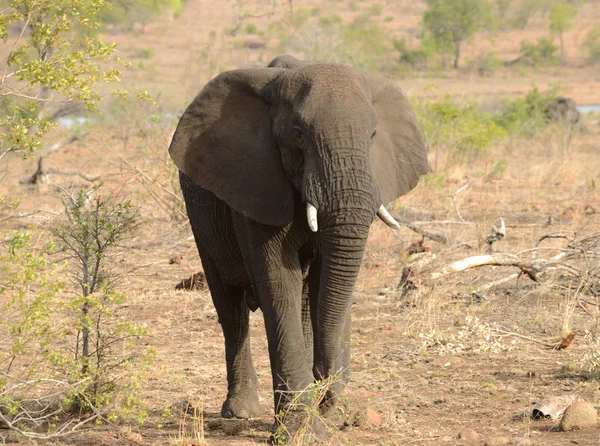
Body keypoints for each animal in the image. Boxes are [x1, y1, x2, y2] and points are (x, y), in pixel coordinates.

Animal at [169, 53, 428, 432]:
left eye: (373, 134)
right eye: (298, 134)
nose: (327, 391)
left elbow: (323, 282)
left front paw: (315, 415)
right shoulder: (256, 181)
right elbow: (278, 280)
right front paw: (296, 428)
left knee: (303, 302)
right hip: (201, 220)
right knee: (230, 307)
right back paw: (241, 411)